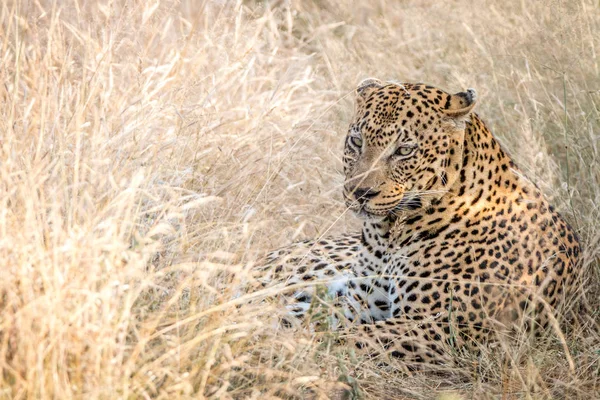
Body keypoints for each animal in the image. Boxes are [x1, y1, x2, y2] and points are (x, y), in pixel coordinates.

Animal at [256, 78, 580, 366]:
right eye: (357, 141)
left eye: (404, 150)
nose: (360, 193)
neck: (388, 236)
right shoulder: (357, 303)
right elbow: (316, 324)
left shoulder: (437, 326)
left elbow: (346, 338)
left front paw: (279, 348)